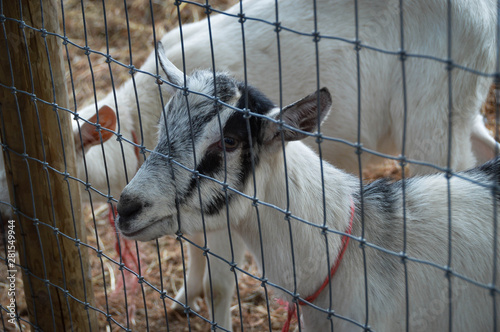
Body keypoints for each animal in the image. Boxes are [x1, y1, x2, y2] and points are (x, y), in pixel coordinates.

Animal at [71, 0, 500, 328]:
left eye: (229, 141)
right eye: (164, 125)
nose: (127, 208)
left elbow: (217, 285)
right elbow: (194, 253)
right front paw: (181, 299)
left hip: (435, 118)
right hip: (464, 112)